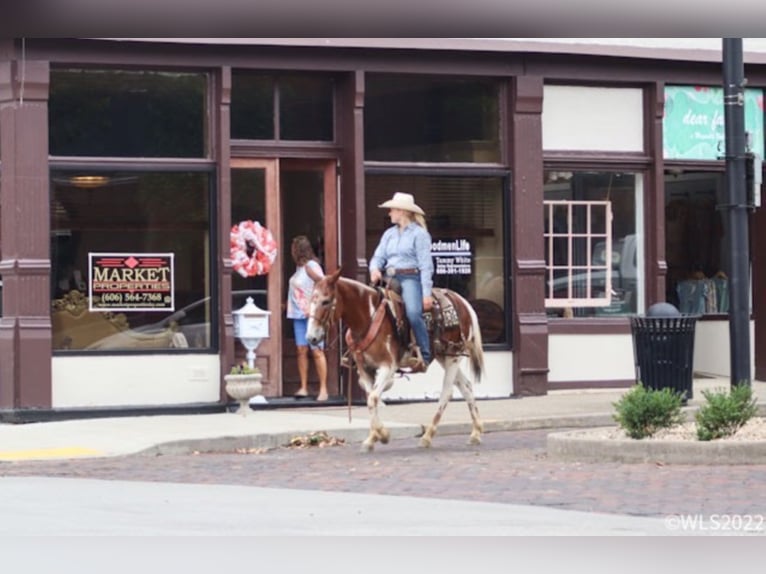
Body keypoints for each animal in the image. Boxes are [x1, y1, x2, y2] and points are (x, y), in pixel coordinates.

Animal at [306, 270, 486, 454]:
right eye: (311, 299)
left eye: (326, 301)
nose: (311, 337)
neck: (368, 317)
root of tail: (462, 301)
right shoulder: (365, 369)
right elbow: (371, 398)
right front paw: (372, 438)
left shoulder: (388, 366)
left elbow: (373, 398)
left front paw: (383, 435)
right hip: (444, 356)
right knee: (466, 386)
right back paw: (475, 433)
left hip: (453, 355)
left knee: (447, 392)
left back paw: (427, 436)